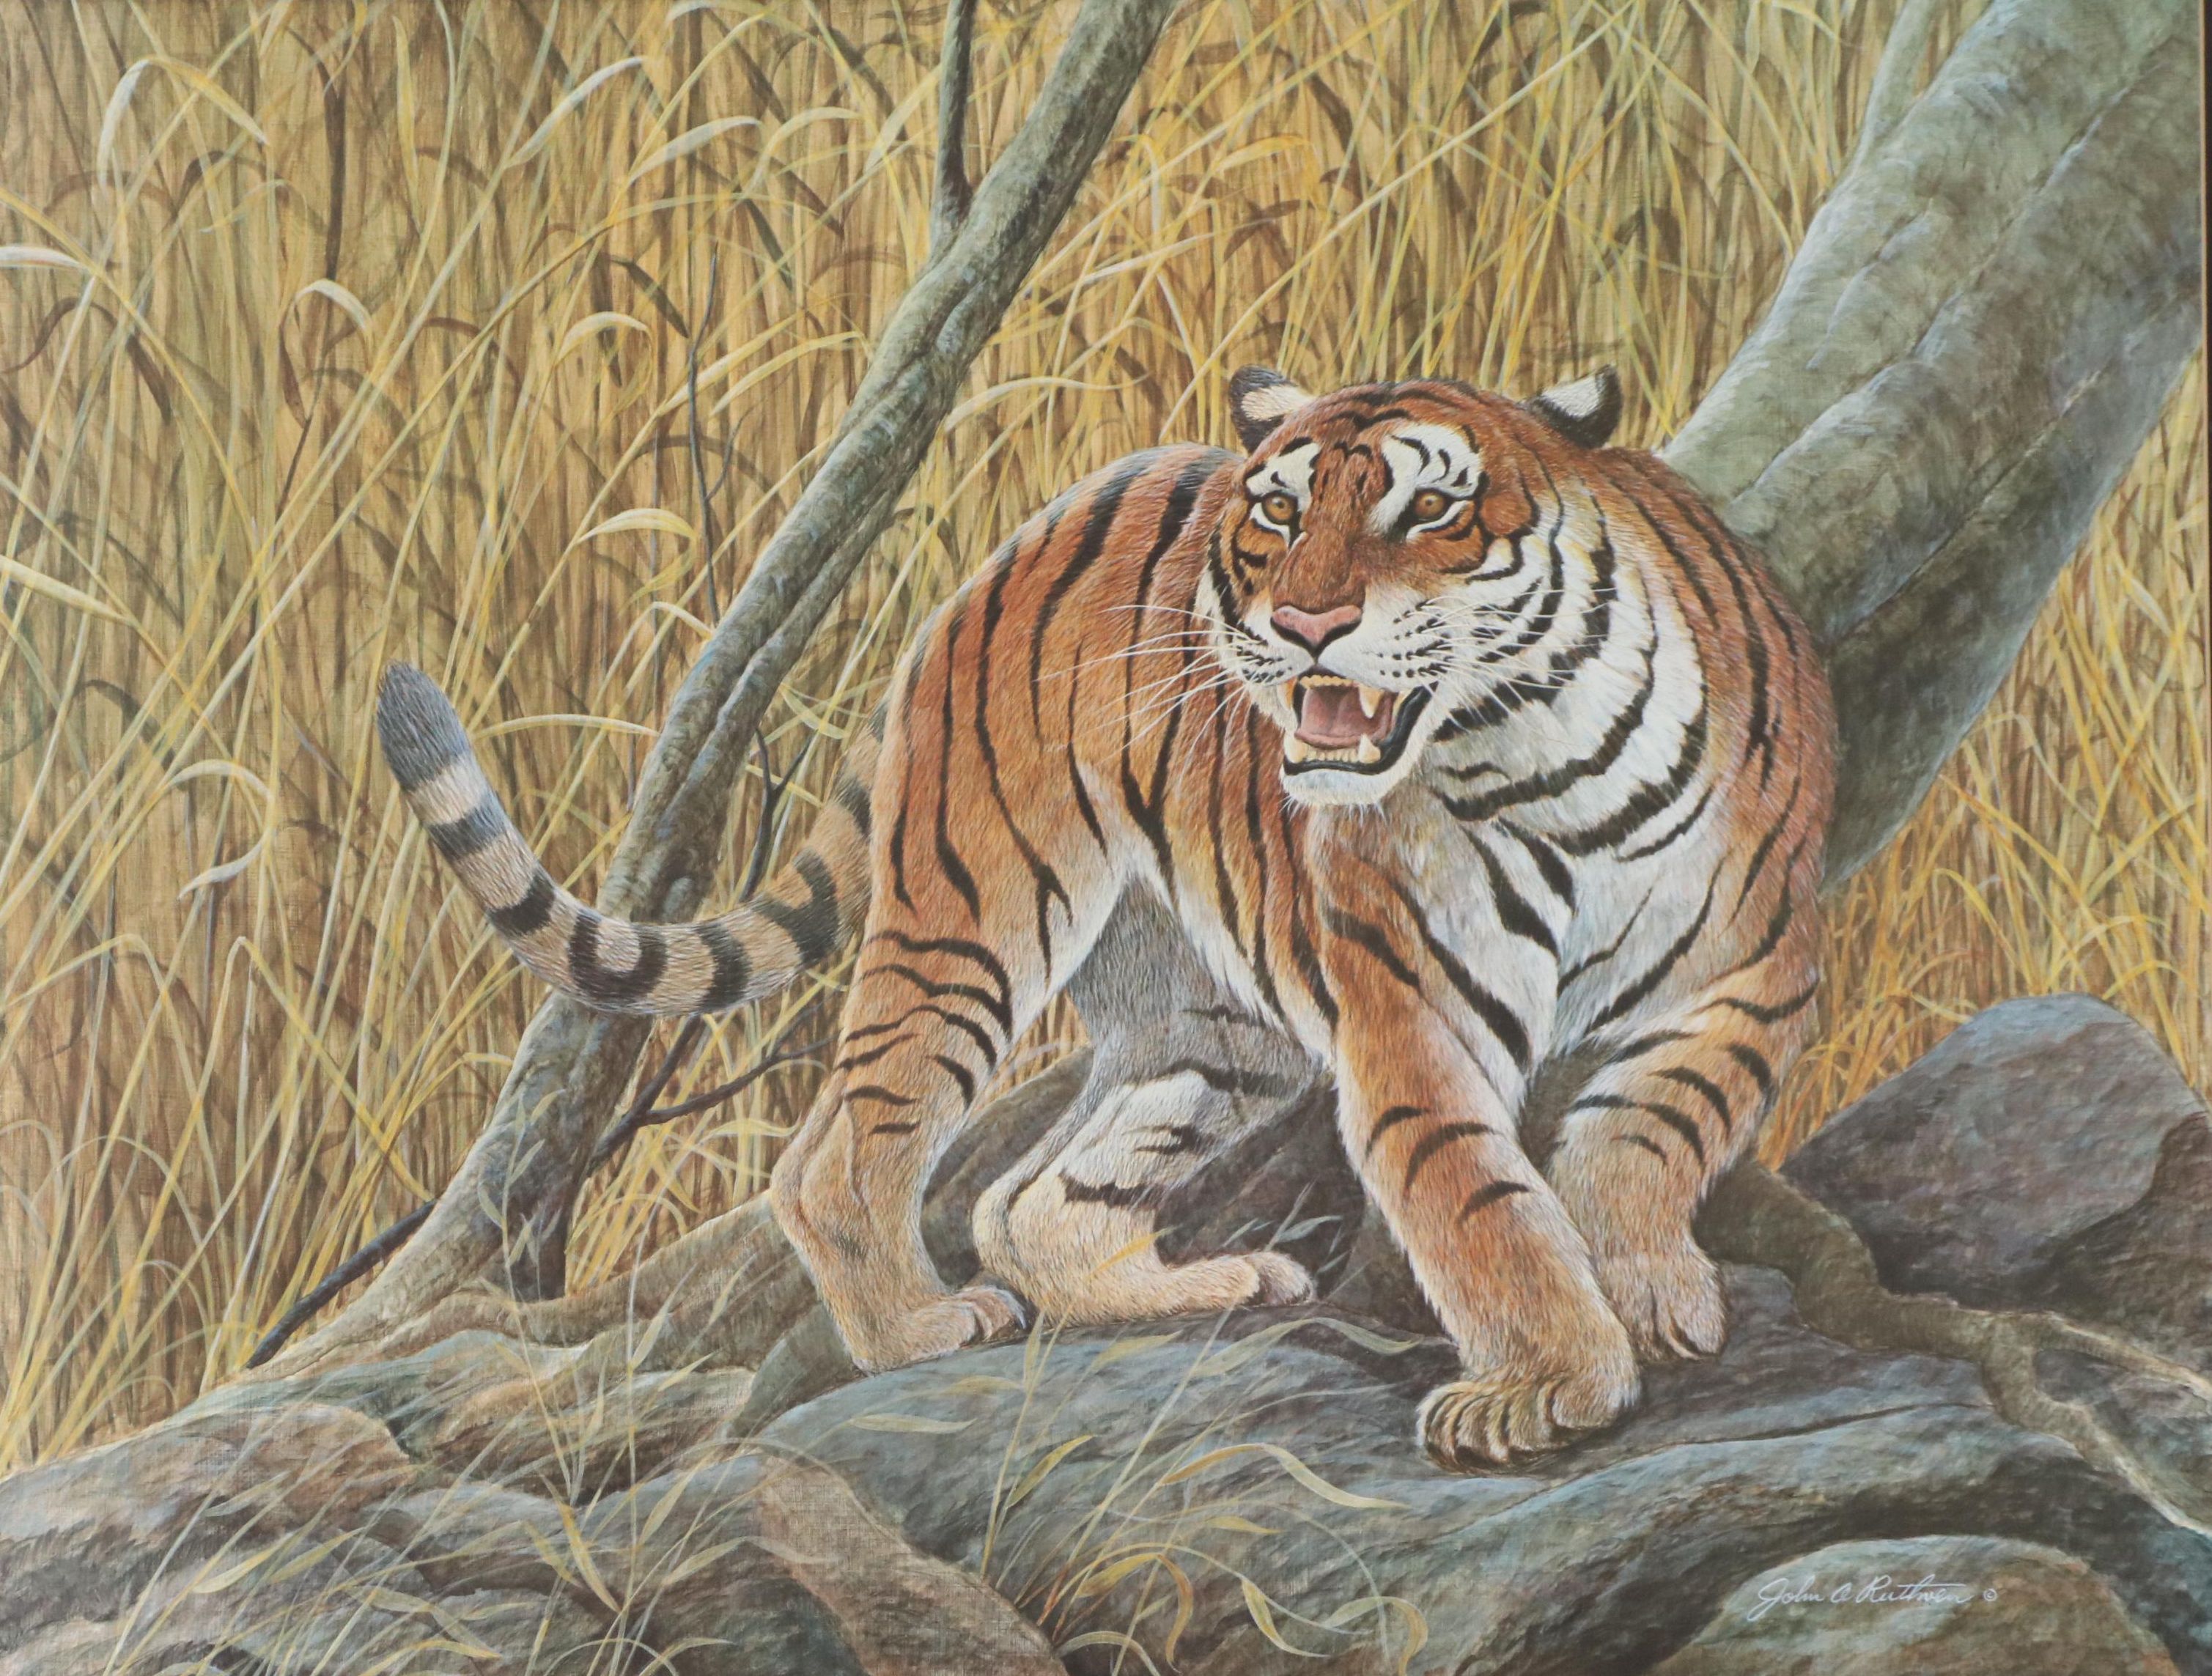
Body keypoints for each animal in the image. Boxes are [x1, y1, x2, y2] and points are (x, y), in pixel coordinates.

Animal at [376, 363, 1833, 1469]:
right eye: (1278, 511)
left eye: (1429, 507)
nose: (1301, 622)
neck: (1527, 751)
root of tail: (1037, 520)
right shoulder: (1414, 1018)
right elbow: (1478, 1203)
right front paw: (1549, 1381)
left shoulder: (1748, 978)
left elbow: (1645, 1135)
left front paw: (1646, 1290)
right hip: (972, 912)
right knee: (845, 1150)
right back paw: (915, 1330)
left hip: (1215, 1020)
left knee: (1027, 1199)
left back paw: (1191, 1285)